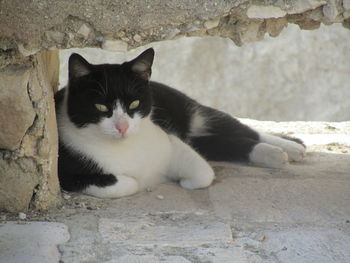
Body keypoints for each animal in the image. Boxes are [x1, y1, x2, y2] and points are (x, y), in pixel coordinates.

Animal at [55, 48, 306, 199]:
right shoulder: (67, 174)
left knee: (240, 128)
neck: (125, 148)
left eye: (134, 103)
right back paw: (277, 154)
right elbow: (129, 184)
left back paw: (290, 147)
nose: (122, 127)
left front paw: (185, 182)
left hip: (191, 109)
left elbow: (204, 173)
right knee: (223, 142)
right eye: (100, 107)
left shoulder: (169, 142)